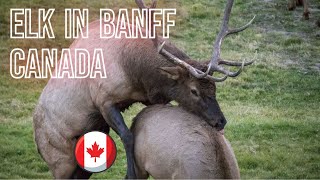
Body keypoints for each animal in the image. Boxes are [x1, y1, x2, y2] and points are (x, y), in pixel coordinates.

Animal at [33, 0, 254, 178]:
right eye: (194, 91)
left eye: (214, 88)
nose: (220, 121)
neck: (137, 75)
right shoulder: (103, 100)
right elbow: (128, 136)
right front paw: (130, 174)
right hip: (59, 159)